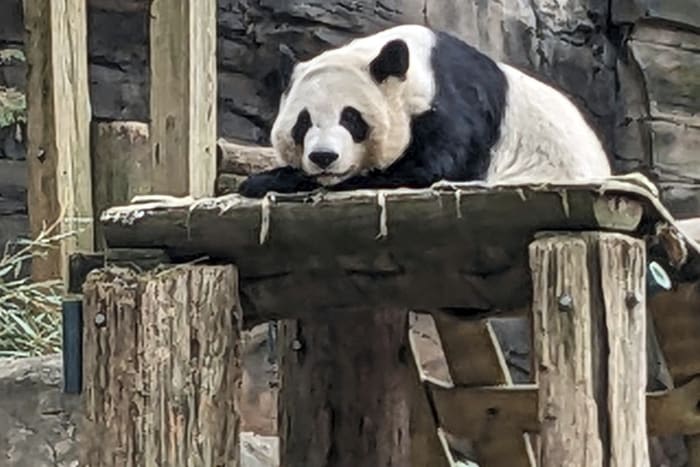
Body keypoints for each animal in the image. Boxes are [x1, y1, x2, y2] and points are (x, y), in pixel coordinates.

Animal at [238, 24, 608, 198]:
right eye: (303, 123)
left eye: (351, 118)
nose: (324, 157)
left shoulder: (455, 107)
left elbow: (426, 170)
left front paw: (270, 180)